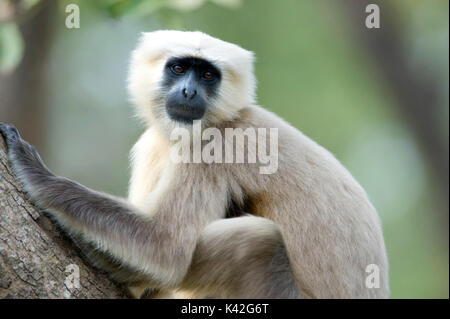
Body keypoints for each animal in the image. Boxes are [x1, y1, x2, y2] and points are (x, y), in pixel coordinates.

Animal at [0, 30, 386, 300]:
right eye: (179, 68)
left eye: (207, 76)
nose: (188, 91)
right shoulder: (156, 142)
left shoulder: (214, 146)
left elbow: (166, 247)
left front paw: (39, 176)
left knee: (260, 242)